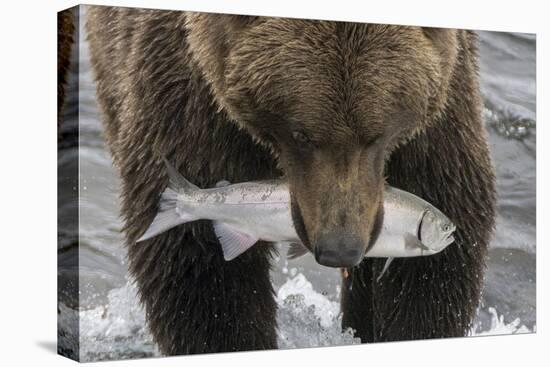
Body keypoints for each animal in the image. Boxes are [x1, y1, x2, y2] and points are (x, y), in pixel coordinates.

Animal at [85, 5, 496, 356]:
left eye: (376, 135)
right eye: (302, 134)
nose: (340, 248)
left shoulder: (436, 129)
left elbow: (433, 274)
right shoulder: (193, 103)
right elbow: (201, 271)